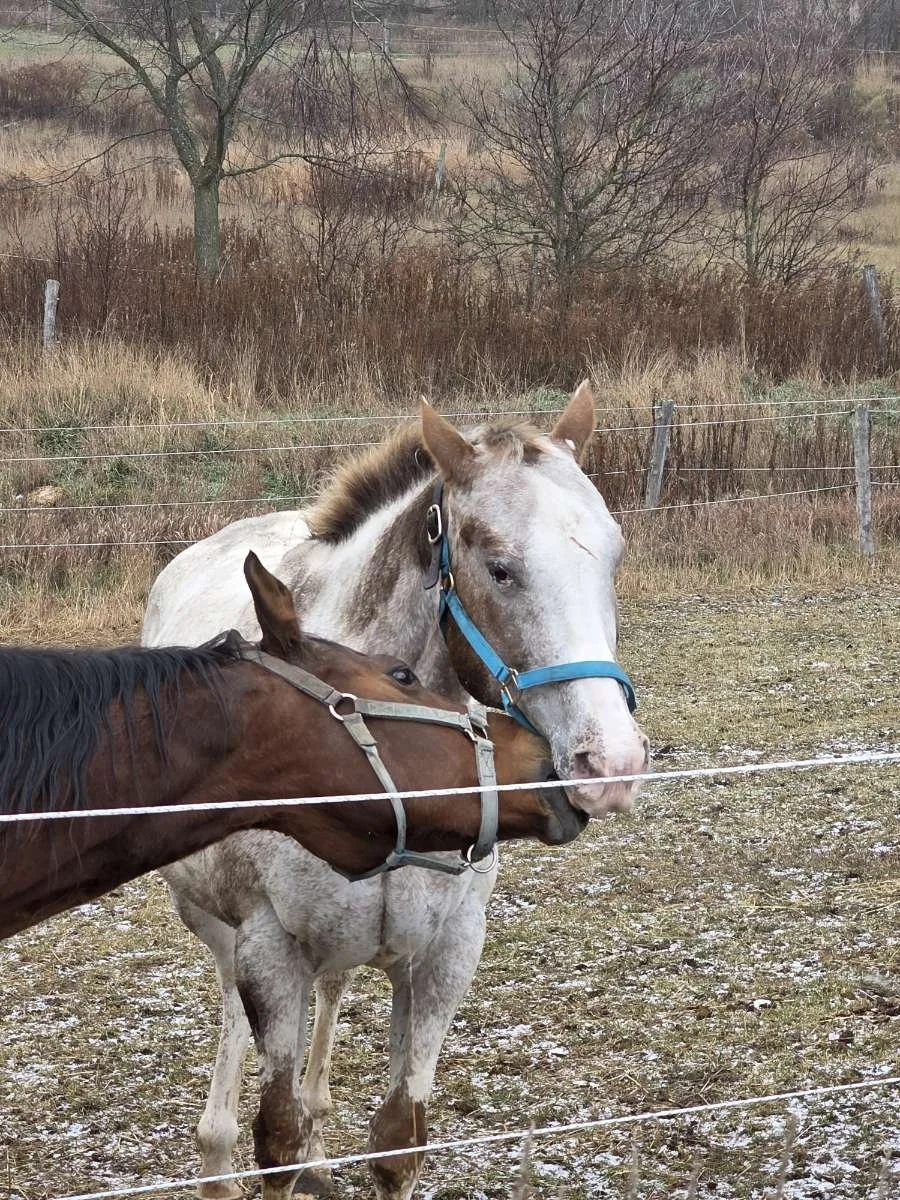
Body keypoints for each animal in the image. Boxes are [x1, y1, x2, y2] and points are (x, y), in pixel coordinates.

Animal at [143, 383, 649, 1200]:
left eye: (614, 555)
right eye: (499, 569)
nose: (612, 762)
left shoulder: (443, 956)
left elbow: (396, 1142)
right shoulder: (269, 950)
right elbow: (276, 1136)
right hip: (216, 926)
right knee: (231, 1017)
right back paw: (215, 1155)